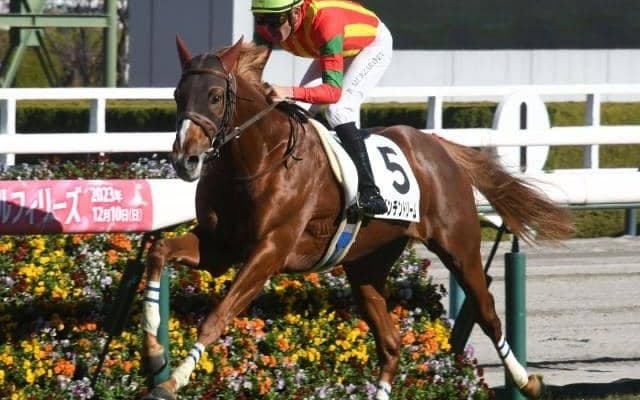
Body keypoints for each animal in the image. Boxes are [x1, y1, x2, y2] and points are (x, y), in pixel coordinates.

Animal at [140, 36, 573, 400]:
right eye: (178, 95)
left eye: (215, 96)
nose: (185, 159)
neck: (258, 159)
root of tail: (437, 145)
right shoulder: (220, 246)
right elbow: (159, 251)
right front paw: (154, 353)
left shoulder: (271, 249)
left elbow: (217, 316)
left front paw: (172, 381)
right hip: (367, 263)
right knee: (391, 345)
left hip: (458, 246)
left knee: (487, 315)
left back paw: (528, 381)